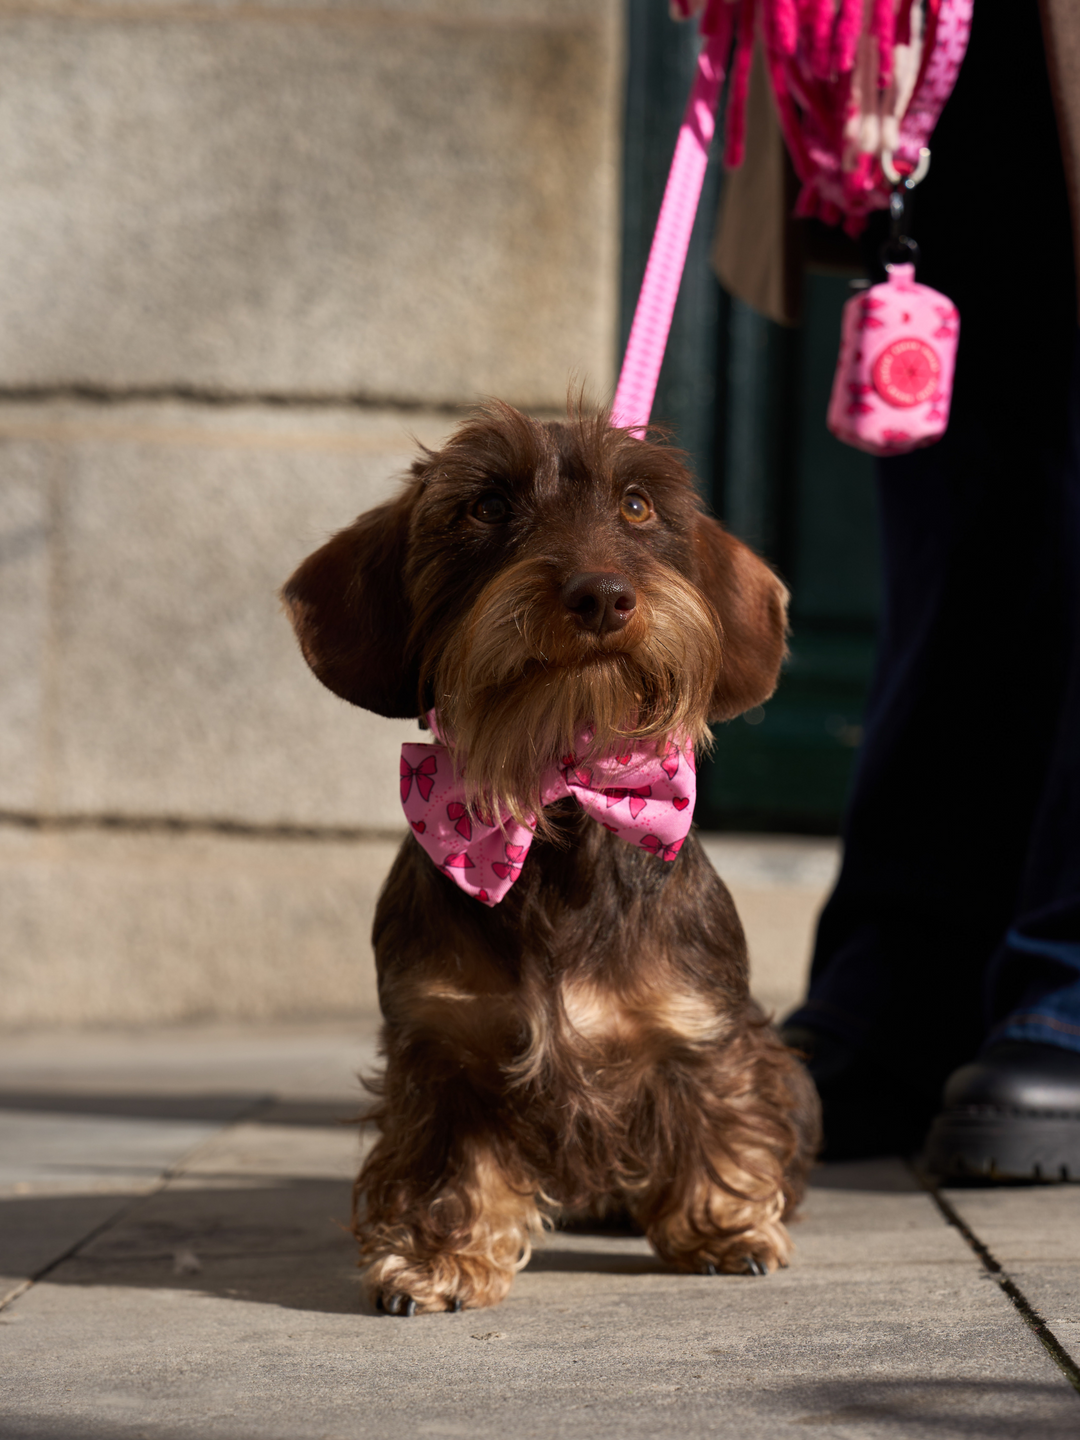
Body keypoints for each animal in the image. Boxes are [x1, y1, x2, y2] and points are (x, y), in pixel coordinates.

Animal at [283, 400, 823, 1313]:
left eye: (637, 506)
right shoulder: (446, 1049)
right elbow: (450, 1168)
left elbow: (720, 1111)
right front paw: (437, 1261)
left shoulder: (703, 1028)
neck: (560, 809)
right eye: (487, 505)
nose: (601, 595)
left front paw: (726, 1227)